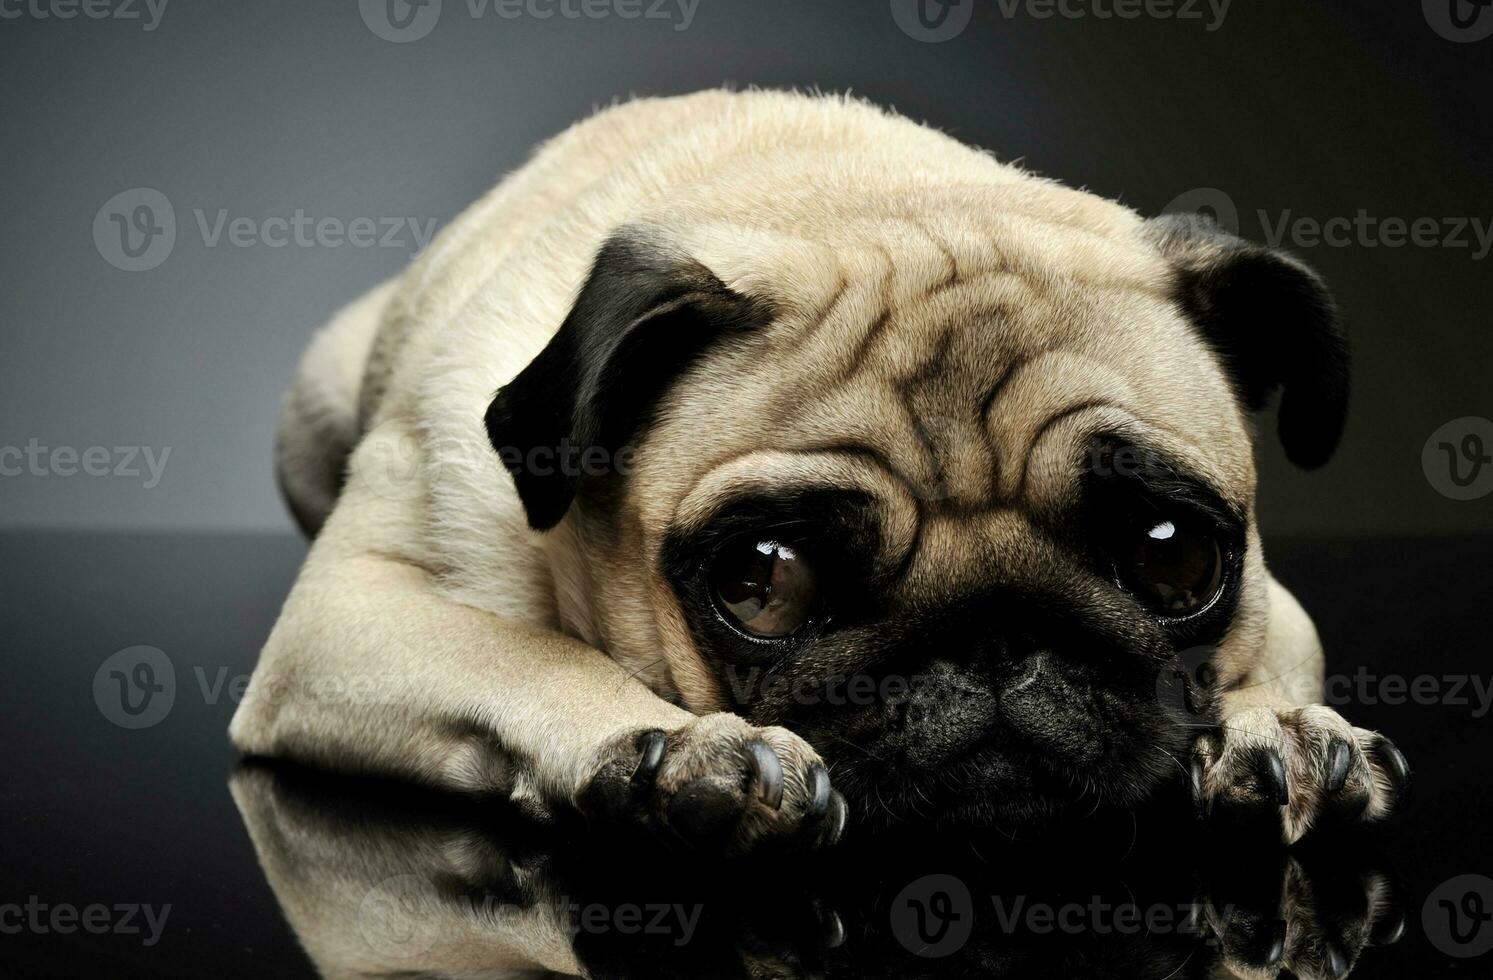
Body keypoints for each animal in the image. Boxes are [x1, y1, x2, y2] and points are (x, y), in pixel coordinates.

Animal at [226, 91, 1403, 860]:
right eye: (763, 577)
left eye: (1172, 555)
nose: (994, 632)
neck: (844, 191)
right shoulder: (350, 615)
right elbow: (525, 656)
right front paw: (676, 745)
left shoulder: (1277, 602)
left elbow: (1273, 656)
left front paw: (1270, 726)